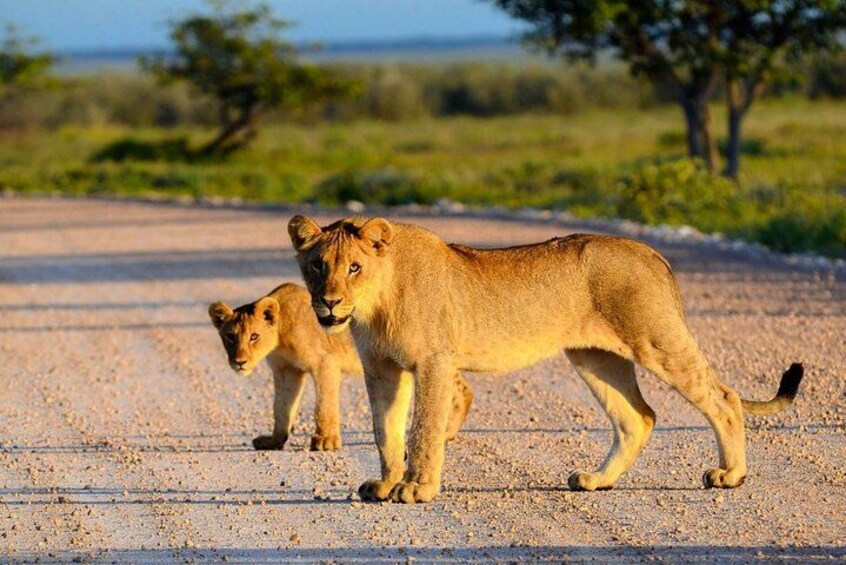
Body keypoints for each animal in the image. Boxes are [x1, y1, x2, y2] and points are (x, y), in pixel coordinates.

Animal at [208, 283, 474, 452]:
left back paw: (445, 432)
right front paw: (274, 440)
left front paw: (325, 441)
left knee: (461, 390)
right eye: (230, 337)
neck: (281, 335)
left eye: (254, 336)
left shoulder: (325, 364)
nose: (239, 361)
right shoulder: (286, 371)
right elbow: (281, 408)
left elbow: (324, 406)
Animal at [288, 215, 804, 503]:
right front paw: (385, 484)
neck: (377, 302)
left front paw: (416, 488)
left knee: (723, 398)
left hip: (656, 339)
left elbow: (424, 430)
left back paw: (730, 475)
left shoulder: (434, 363)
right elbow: (386, 432)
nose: (329, 303)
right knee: (637, 417)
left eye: (355, 267)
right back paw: (597, 480)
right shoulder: (382, 370)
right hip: (596, 358)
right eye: (317, 266)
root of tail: (651, 251)